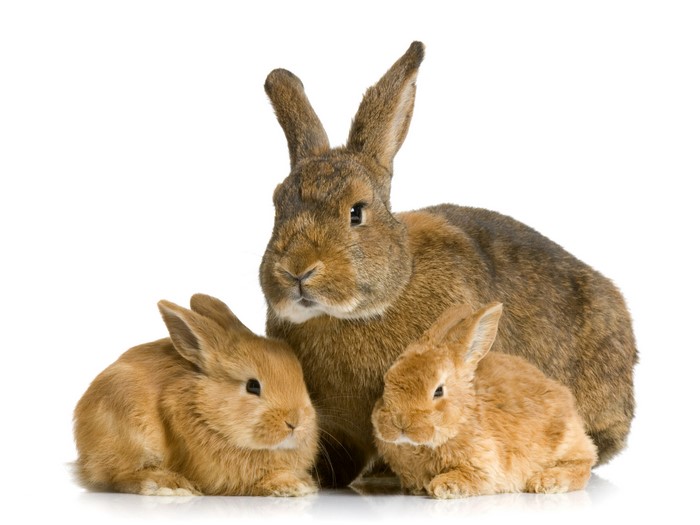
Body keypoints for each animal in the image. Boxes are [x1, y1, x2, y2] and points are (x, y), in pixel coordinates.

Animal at [73, 294, 319, 496]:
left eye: (301, 378)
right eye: (252, 386)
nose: (295, 422)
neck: (205, 410)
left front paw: (305, 482)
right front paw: (292, 485)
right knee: (120, 476)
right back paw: (168, 484)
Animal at [372, 302, 598, 498]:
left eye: (438, 391)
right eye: (387, 381)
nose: (400, 423)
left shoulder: (484, 466)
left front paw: (442, 486)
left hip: (563, 442)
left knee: (583, 464)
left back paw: (546, 482)